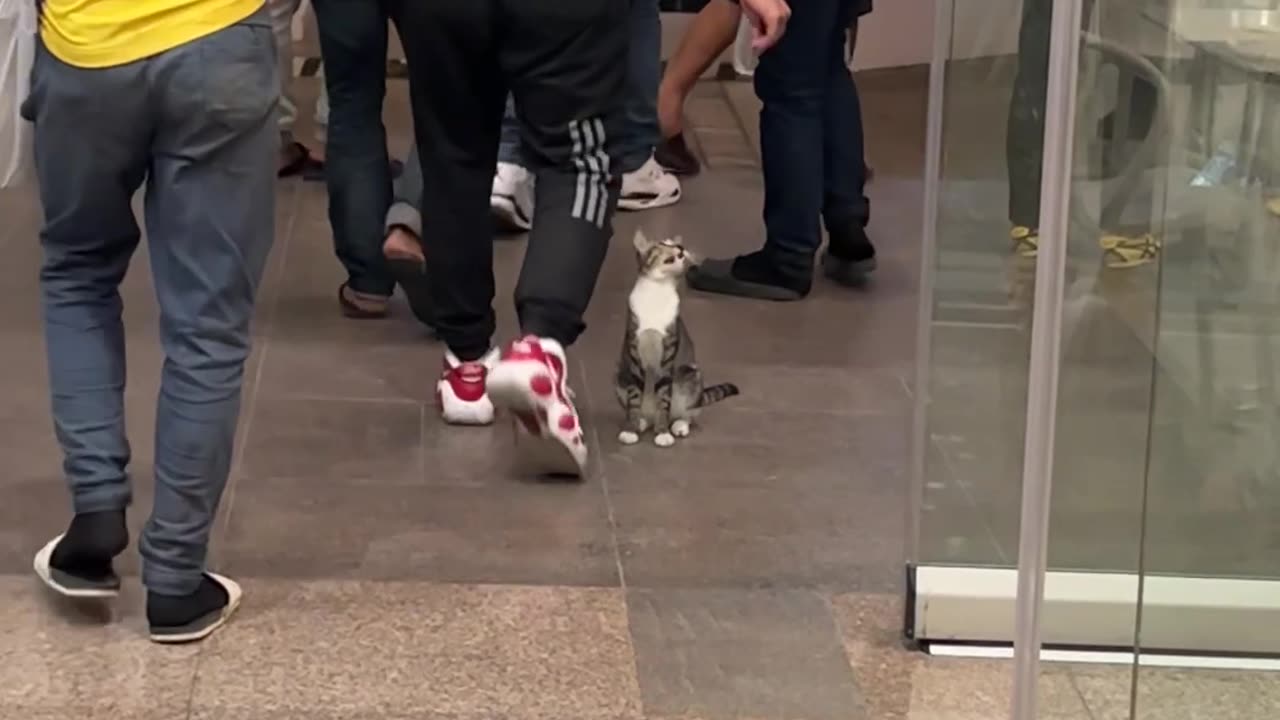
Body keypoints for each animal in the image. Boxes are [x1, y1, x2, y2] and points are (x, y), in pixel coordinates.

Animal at [616, 229, 742, 445]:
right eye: (663, 243)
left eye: (675, 244)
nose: (681, 248)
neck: (656, 292)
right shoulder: (633, 352)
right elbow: (634, 398)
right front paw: (630, 429)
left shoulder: (668, 353)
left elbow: (664, 397)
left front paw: (663, 433)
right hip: (620, 375)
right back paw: (642, 421)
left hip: (690, 375)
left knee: (688, 412)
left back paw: (678, 425)